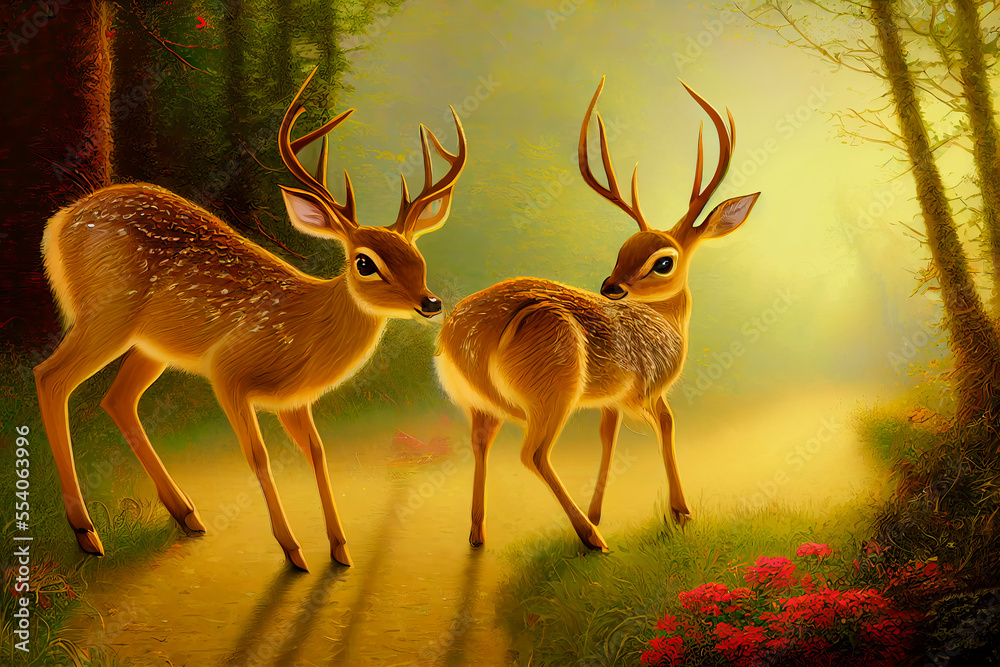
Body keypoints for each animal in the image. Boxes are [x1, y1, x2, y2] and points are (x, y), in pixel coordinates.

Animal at [33, 67, 467, 571]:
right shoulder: (228, 372)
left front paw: (340, 549)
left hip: (150, 343)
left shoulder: (294, 401)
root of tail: (59, 222)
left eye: (417, 257)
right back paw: (87, 532)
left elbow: (317, 452)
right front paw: (293, 550)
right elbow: (258, 455)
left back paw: (186, 514)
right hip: (107, 313)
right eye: (365, 263)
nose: (431, 303)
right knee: (50, 377)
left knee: (117, 399)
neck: (304, 326)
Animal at [435, 77, 759, 552]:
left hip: (479, 405)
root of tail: (463, 338)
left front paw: (600, 510)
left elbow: (608, 436)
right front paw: (680, 513)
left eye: (660, 260)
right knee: (533, 454)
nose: (611, 287)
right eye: (628, 251)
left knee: (481, 442)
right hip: (553, 391)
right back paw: (591, 539)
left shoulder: (612, 400)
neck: (665, 322)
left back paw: (479, 534)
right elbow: (667, 425)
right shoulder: (647, 390)